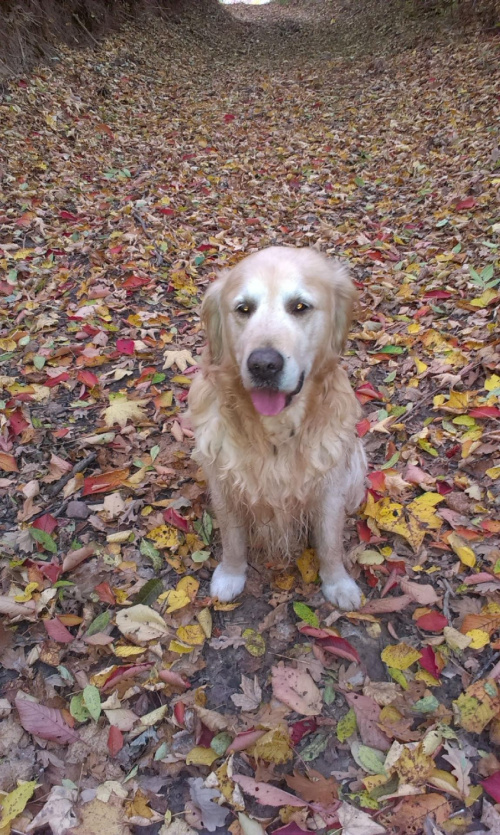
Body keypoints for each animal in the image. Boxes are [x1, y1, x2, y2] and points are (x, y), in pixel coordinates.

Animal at [188, 246, 366, 610]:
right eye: (243, 309)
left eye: (299, 307)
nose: (263, 365)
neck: (275, 432)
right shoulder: (225, 485)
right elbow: (232, 540)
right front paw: (230, 575)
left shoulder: (329, 488)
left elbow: (330, 543)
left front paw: (338, 583)